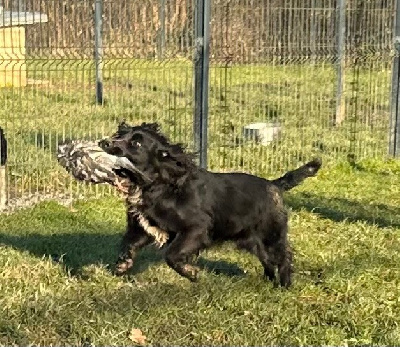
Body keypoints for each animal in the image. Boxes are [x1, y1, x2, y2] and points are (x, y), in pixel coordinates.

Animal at [100, 123, 322, 288]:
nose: (104, 142)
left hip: (271, 234)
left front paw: (191, 273)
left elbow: (172, 255)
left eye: (136, 143)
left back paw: (284, 285)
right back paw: (268, 281)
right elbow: (127, 245)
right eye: (120, 134)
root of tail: (274, 184)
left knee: (284, 256)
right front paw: (122, 266)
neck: (161, 184)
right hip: (252, 240)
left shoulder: (196, 228)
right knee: (267, 259)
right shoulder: (144, 227)